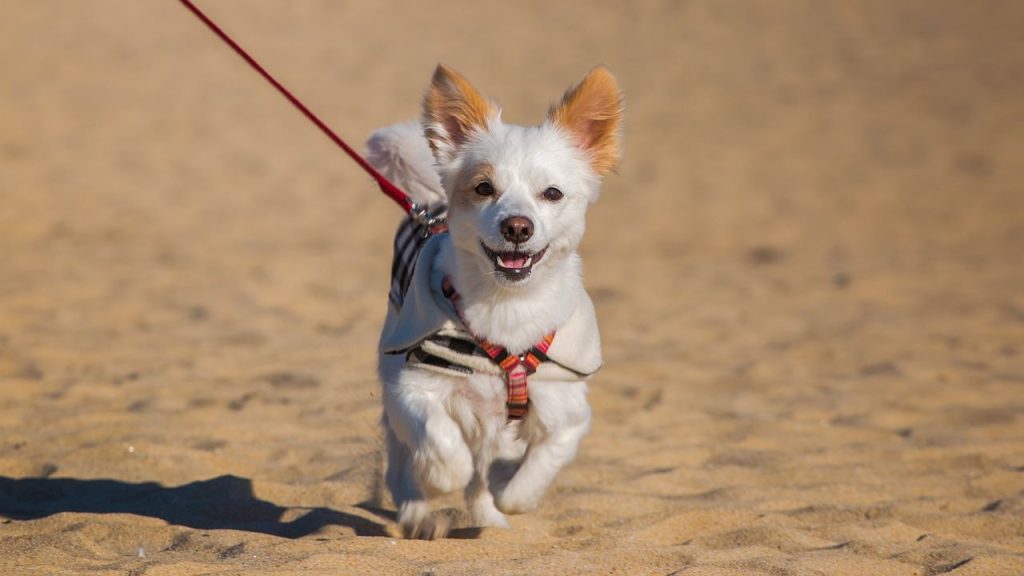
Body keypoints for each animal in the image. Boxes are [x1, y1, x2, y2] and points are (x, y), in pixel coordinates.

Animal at [368, 65, 622, 537]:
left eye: (552, 193)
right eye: (484, 188)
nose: (517, 227)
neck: (506, 308)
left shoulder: (568, 411)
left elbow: (529, 474)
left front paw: (509, 489)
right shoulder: (410, 388)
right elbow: (441, 443)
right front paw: (441, 474)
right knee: (401, 466)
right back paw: (418, 513)